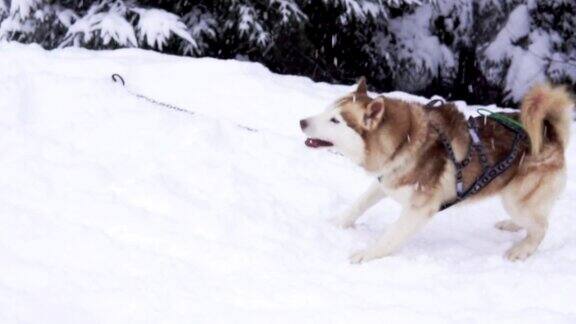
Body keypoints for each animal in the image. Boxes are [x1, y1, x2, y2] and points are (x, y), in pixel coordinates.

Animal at [300, 79, 572, 264]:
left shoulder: (419, 208)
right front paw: (337, 222)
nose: (302, 121)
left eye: (335, 120)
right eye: (328, 110)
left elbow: (390, 236)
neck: (403, 142)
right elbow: (358, 204)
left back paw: (522, 250)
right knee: (538, 217)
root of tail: (549, 132)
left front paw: (367, 254)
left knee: (541, 226)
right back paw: (512, 226)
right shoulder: (387, 180)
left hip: (516, 199)